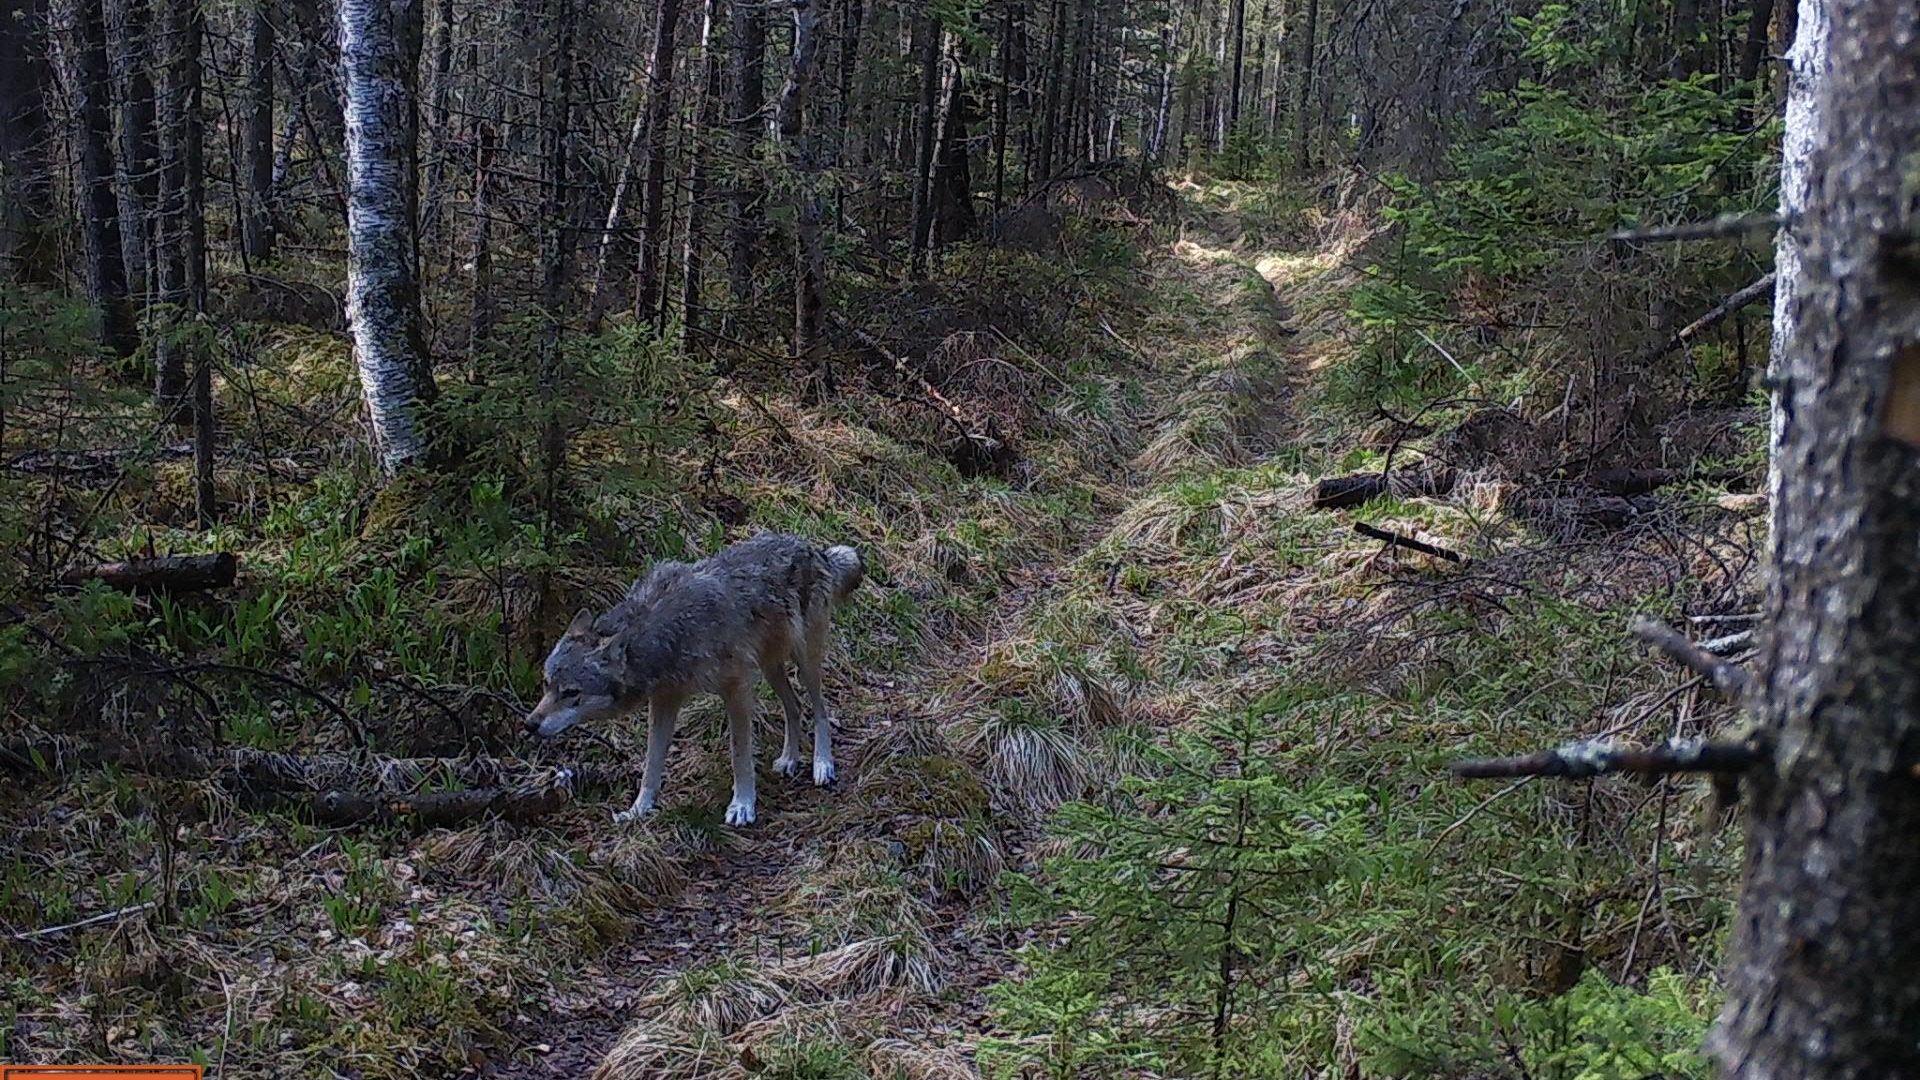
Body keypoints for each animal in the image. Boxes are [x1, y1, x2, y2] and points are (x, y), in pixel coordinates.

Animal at [523, 533, 864, 826]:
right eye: (546, 684)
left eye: (571, 692)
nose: (530, 724)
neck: (667, 632)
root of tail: (810, 546)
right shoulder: (664, 700)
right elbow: (651, 765)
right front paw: (638, 810)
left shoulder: (737, 688)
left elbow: (739, 753)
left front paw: (742, 805)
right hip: (770, 668)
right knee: (794, 708)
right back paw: (789, 760)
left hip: (804, 661)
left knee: (819, 710)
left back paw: (822, 765)